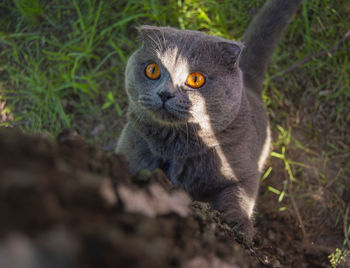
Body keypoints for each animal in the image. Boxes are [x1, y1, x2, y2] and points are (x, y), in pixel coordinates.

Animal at [117, 0, 304, 239]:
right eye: (152, 70)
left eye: (196, 79)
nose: (165, 94)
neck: (175, 148)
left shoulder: (241, 170)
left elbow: (239, 195)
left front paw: (239, 227)